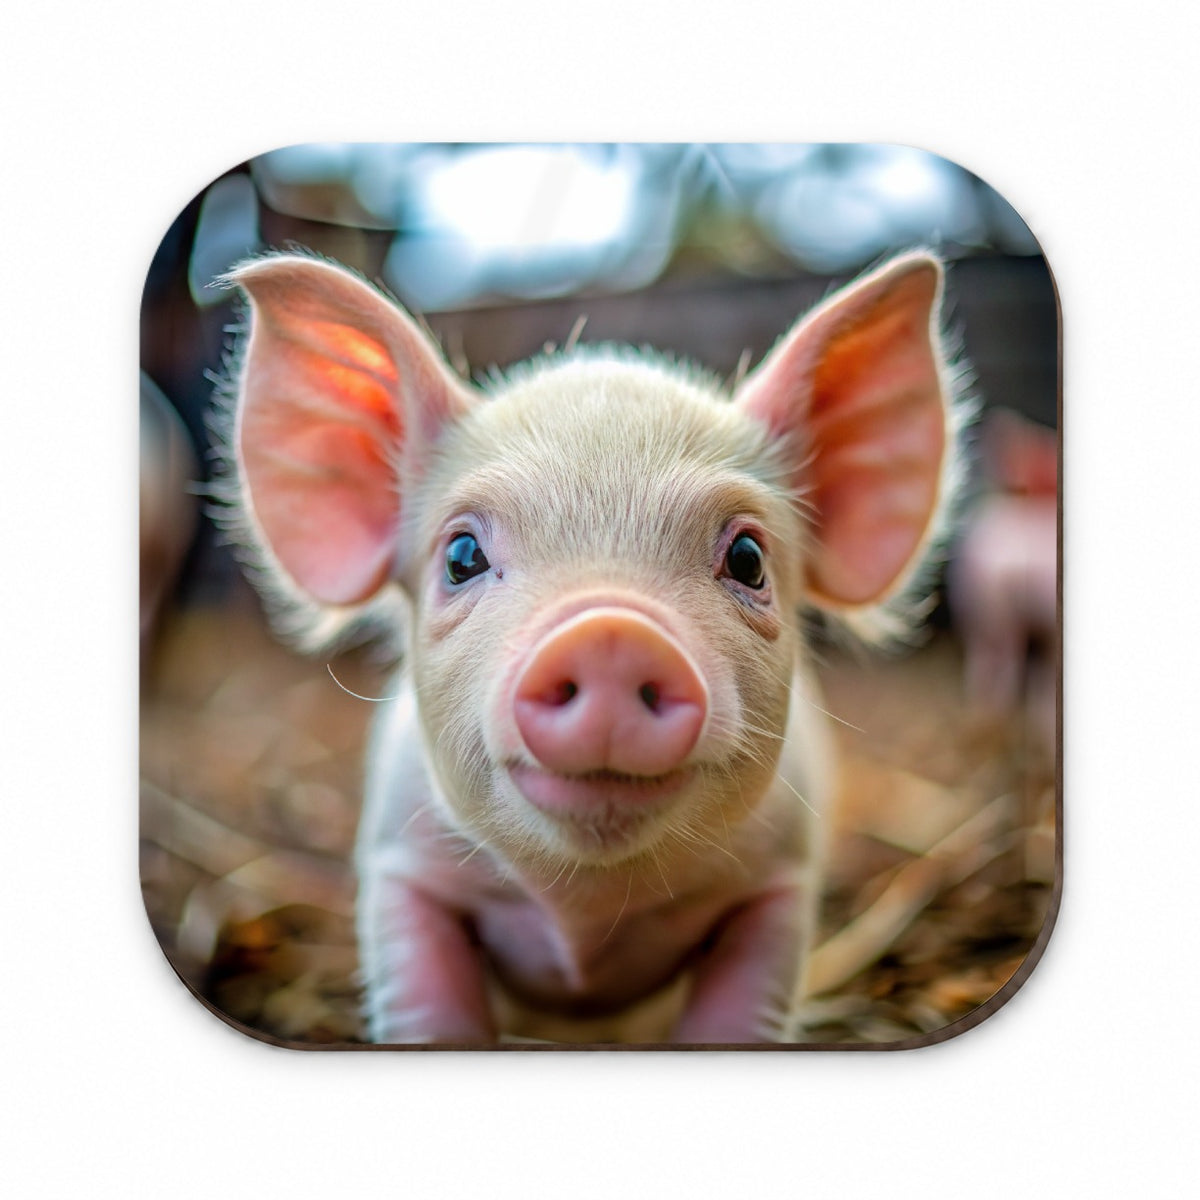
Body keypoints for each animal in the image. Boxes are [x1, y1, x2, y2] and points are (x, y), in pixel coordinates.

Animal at [219, 249, 959, 1044]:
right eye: (461, 557)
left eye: (750, 559)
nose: (610, 634)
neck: (585, 915)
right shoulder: (399, 867)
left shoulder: (779, 885)